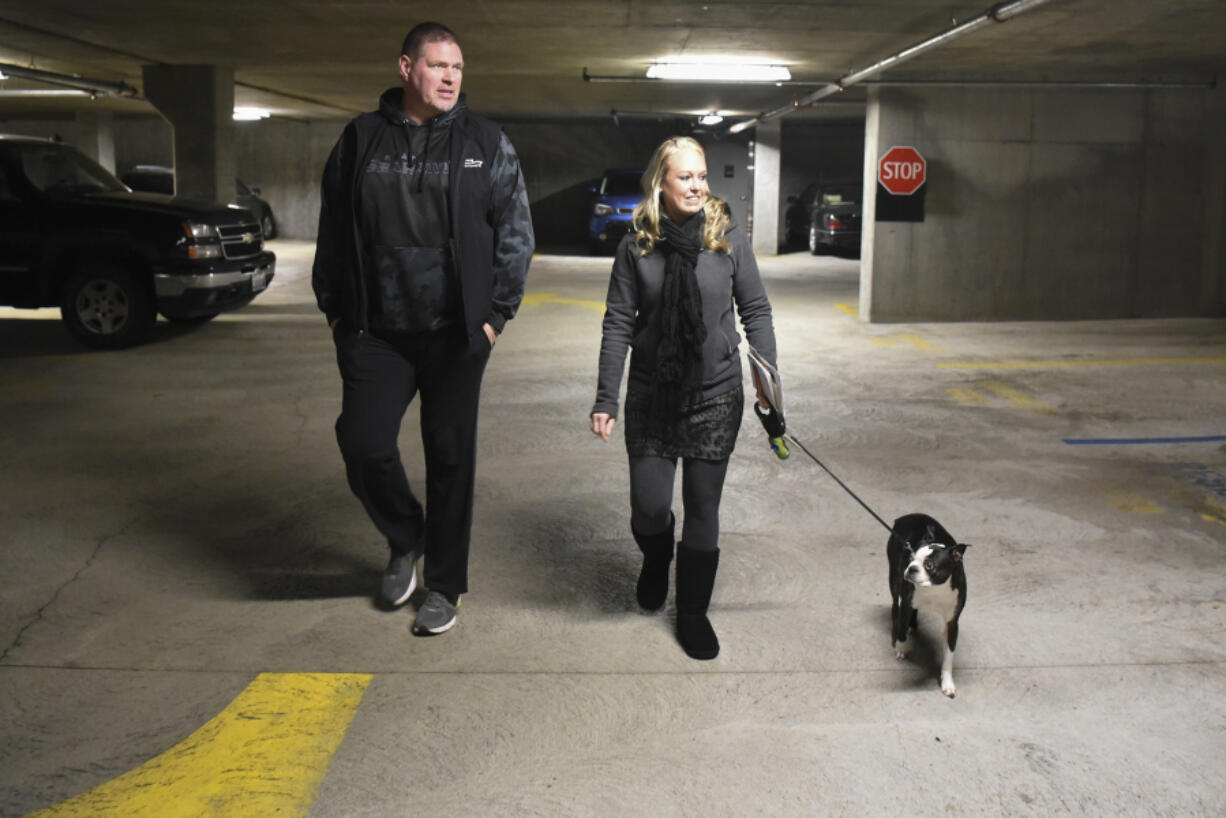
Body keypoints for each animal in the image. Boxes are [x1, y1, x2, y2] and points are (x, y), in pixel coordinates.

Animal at [892, 512, 966, 696]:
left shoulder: (952, 622)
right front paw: (901, 647)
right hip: (894, 582)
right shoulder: (906, 604)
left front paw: (947, 683)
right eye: (910, 558)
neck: (934, 589)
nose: (911, 568)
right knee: (895, 608)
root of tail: (904, 517)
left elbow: (949, 656)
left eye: (929, 565)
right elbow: (902, 630)